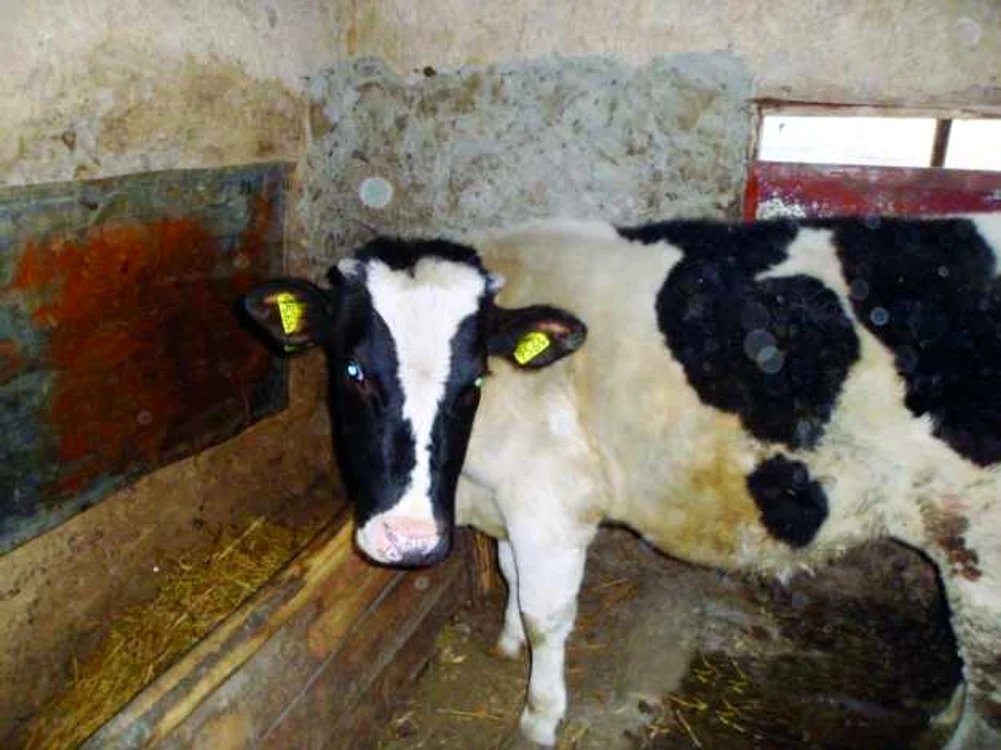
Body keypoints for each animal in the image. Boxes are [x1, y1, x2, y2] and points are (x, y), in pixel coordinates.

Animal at [242, 214, 1001, 749]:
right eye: (352, 371)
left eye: (473, 381)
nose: (406, 540)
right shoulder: (512, 502)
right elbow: (512, 579)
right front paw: (507, 645)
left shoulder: (552, 503)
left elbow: (547, 614)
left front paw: (539, 717)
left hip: (979, 542)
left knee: (988, 679)